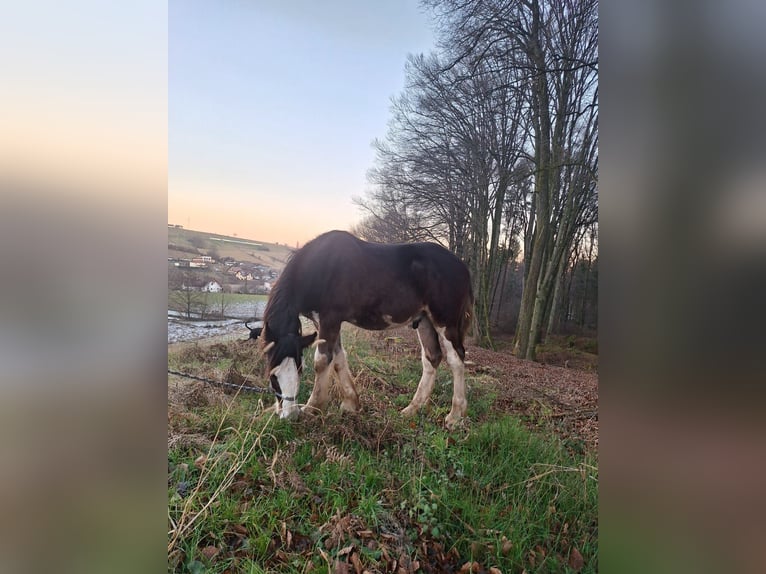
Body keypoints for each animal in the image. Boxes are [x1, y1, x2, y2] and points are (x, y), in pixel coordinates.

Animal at [264, 231, 474, 428]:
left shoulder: (329, 320)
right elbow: (338, 360)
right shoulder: (324, 323)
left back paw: (455, 416)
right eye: (273, 376)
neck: (319, 267)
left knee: (456, 360)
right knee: (431, 358)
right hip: (424, 320)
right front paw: (350, 404)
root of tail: (462, 267)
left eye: (300, 370)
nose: (290, 415)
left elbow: (322, 362)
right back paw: (412, 409)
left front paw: (312, 408)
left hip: (445, 322)